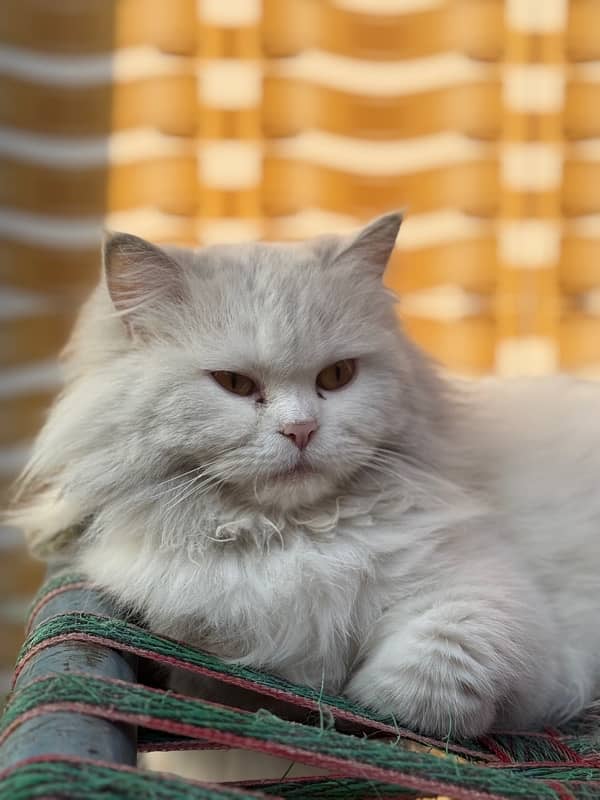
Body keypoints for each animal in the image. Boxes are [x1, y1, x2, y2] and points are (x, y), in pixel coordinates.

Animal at [8, 212, 600, 756]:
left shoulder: (493, 601)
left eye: (337, 377)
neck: (292, 536)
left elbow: (434, 676)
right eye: (234, 384)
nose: (301, 430)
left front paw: (368, 703)